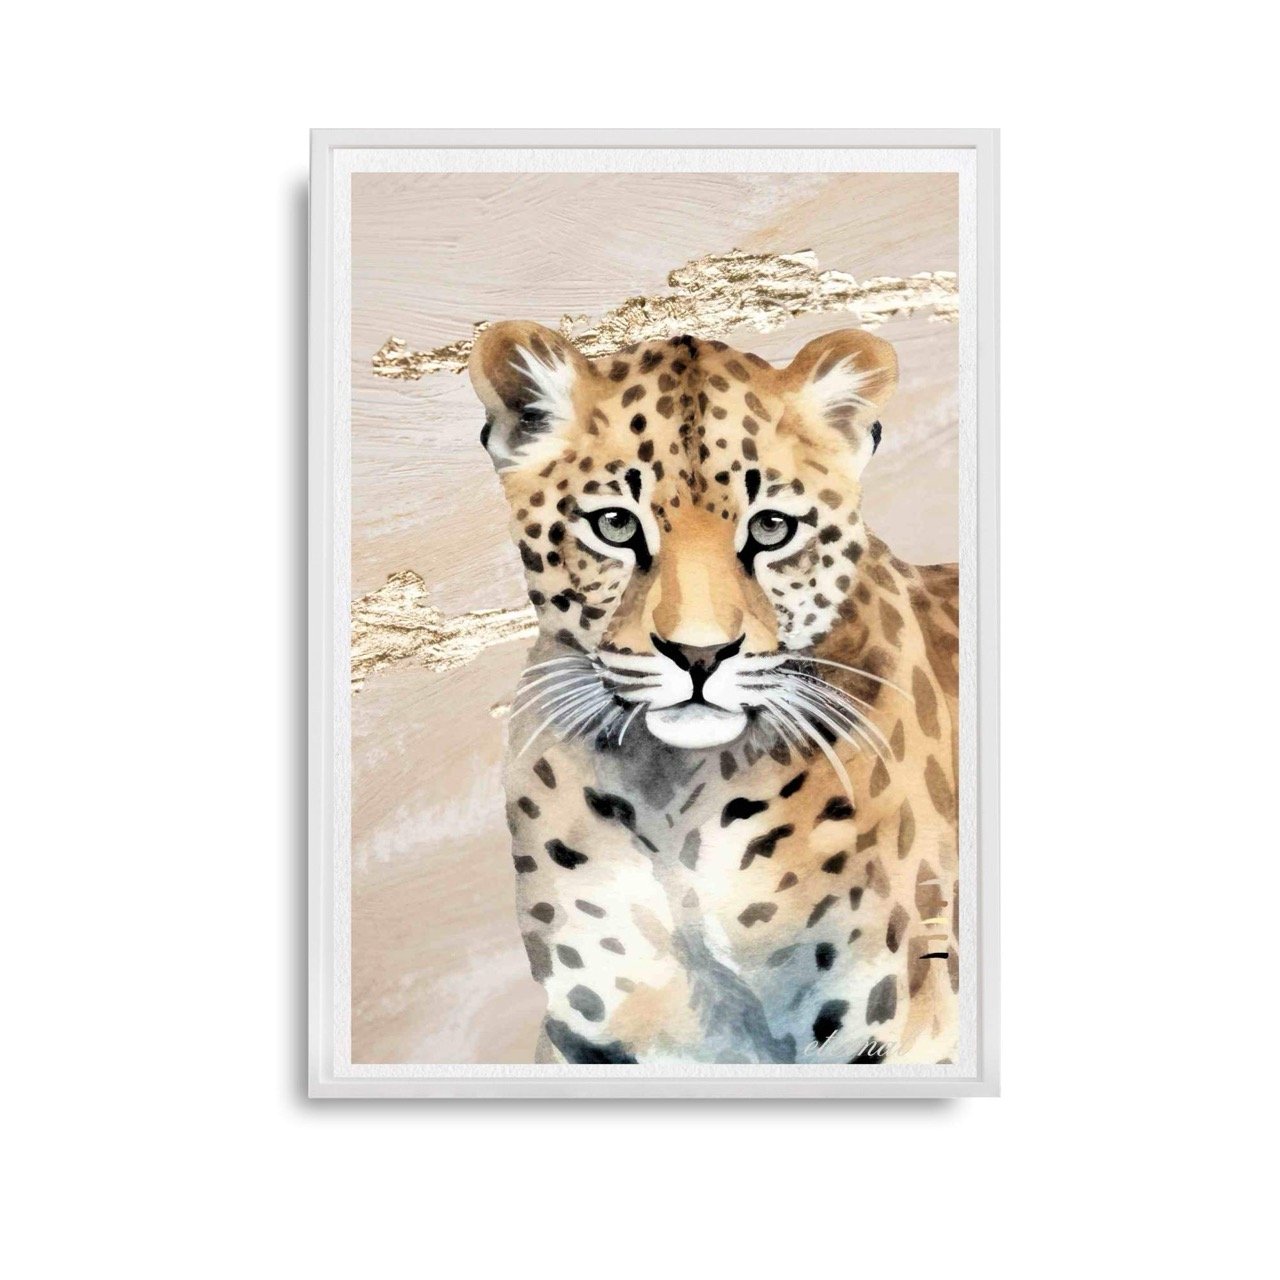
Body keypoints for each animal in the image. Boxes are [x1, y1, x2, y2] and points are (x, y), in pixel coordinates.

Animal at [467, 320, 959, 1065]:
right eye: (615, 525)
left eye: (771, 528)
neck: (669, 802)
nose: (699, 654)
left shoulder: (892, 1028)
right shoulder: (594, 1035)